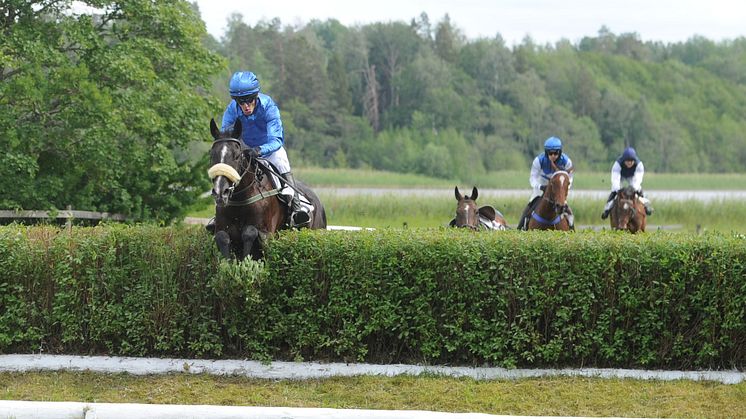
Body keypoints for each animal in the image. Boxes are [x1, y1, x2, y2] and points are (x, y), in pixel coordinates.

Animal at [209, 118, 326, 260]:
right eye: (211, 155)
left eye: (236, 156)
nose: (220, 192)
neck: (240, 199)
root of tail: (318, 202)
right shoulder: (222, 228)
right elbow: (222, 238)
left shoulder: (267, 233)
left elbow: (250, 232)